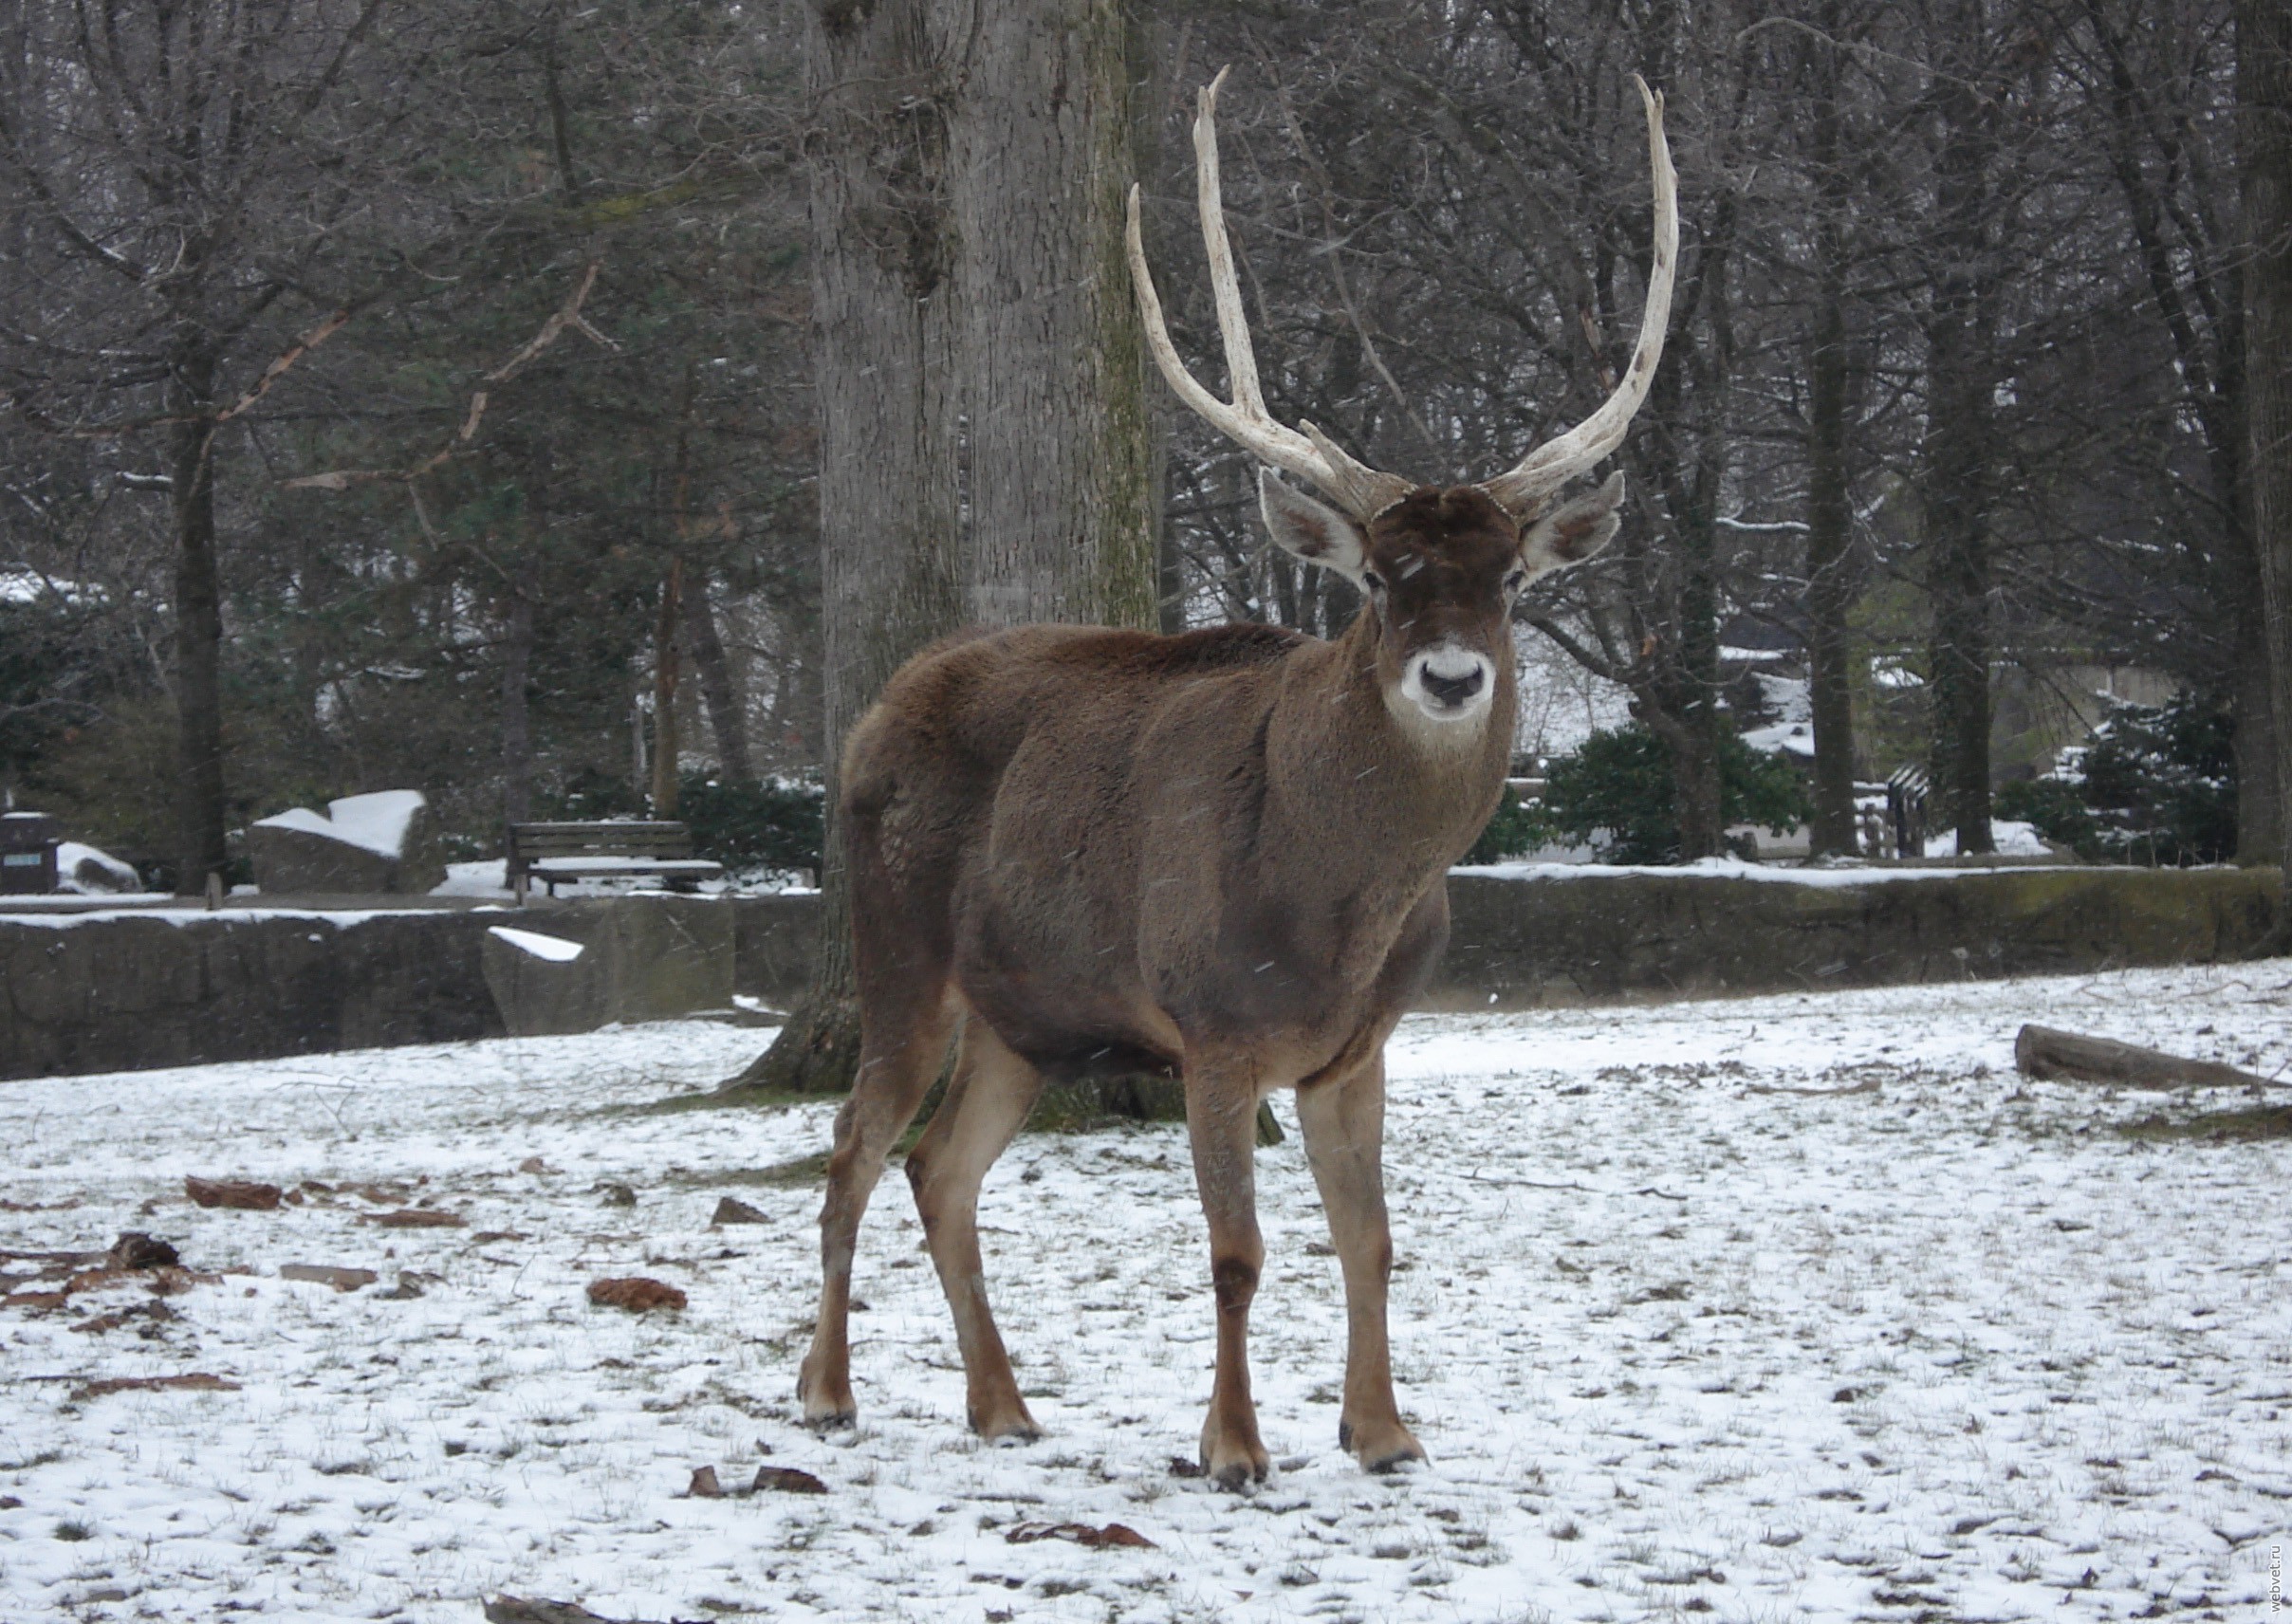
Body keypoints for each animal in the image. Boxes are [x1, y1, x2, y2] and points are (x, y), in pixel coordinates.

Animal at [806, 69, 1687, 1484]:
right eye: (1378, 577)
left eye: (1507, 578)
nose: (1452, 677)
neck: (1334, 903)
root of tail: (867, 717)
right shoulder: (1209, 1027)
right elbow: (1235, 1252)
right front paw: (1231, 1444)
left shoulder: (1355, 1047)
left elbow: (1371, 1239)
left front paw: (1382, 1430)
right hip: (896, 951)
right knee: (849, 1148)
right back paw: (827, 1393)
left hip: (1025, 1010)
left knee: (937, 1166)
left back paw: (1002, 1406)